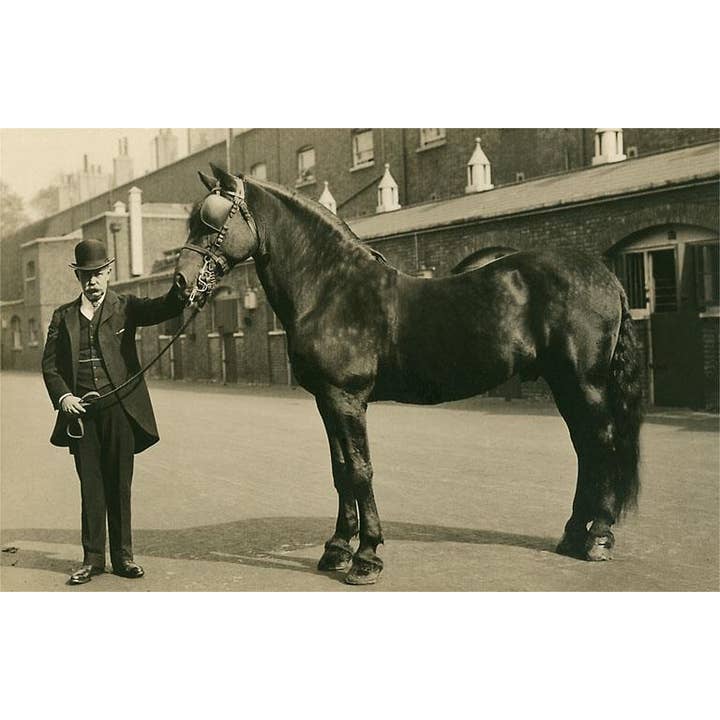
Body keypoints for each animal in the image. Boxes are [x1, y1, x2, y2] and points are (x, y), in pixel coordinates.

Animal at [174, 163, 643, 585]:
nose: (181, 283)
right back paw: (573, 535)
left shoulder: (348, 399)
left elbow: (360, 470)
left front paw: (366, 558)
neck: (332, 289)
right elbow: (340, 470)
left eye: (212, 221)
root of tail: (605, 276)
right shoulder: (327, 400)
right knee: (585, 448)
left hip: (584, 382)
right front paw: (337, 549)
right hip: (565, 384)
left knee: (601, 444)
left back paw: (598, 538)